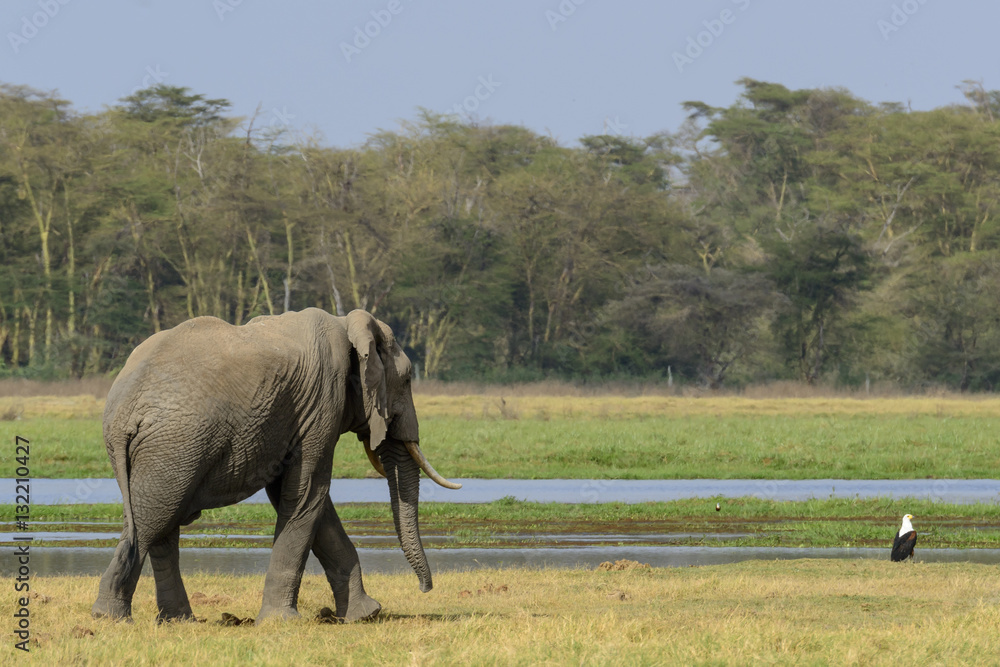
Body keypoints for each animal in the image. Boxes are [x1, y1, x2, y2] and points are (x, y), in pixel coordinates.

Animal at [92, 310, 458, 624]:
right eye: (407, 379)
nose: (425, 589)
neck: (346, 324)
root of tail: (123, 409)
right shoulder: (322, 402)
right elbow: (308, 493)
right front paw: (284, 622)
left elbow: (302, 499)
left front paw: (365, 615)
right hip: (176, 445)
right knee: (153, 521)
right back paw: (111, 617)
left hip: (163, 452)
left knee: (157, 521)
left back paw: (174, 621)